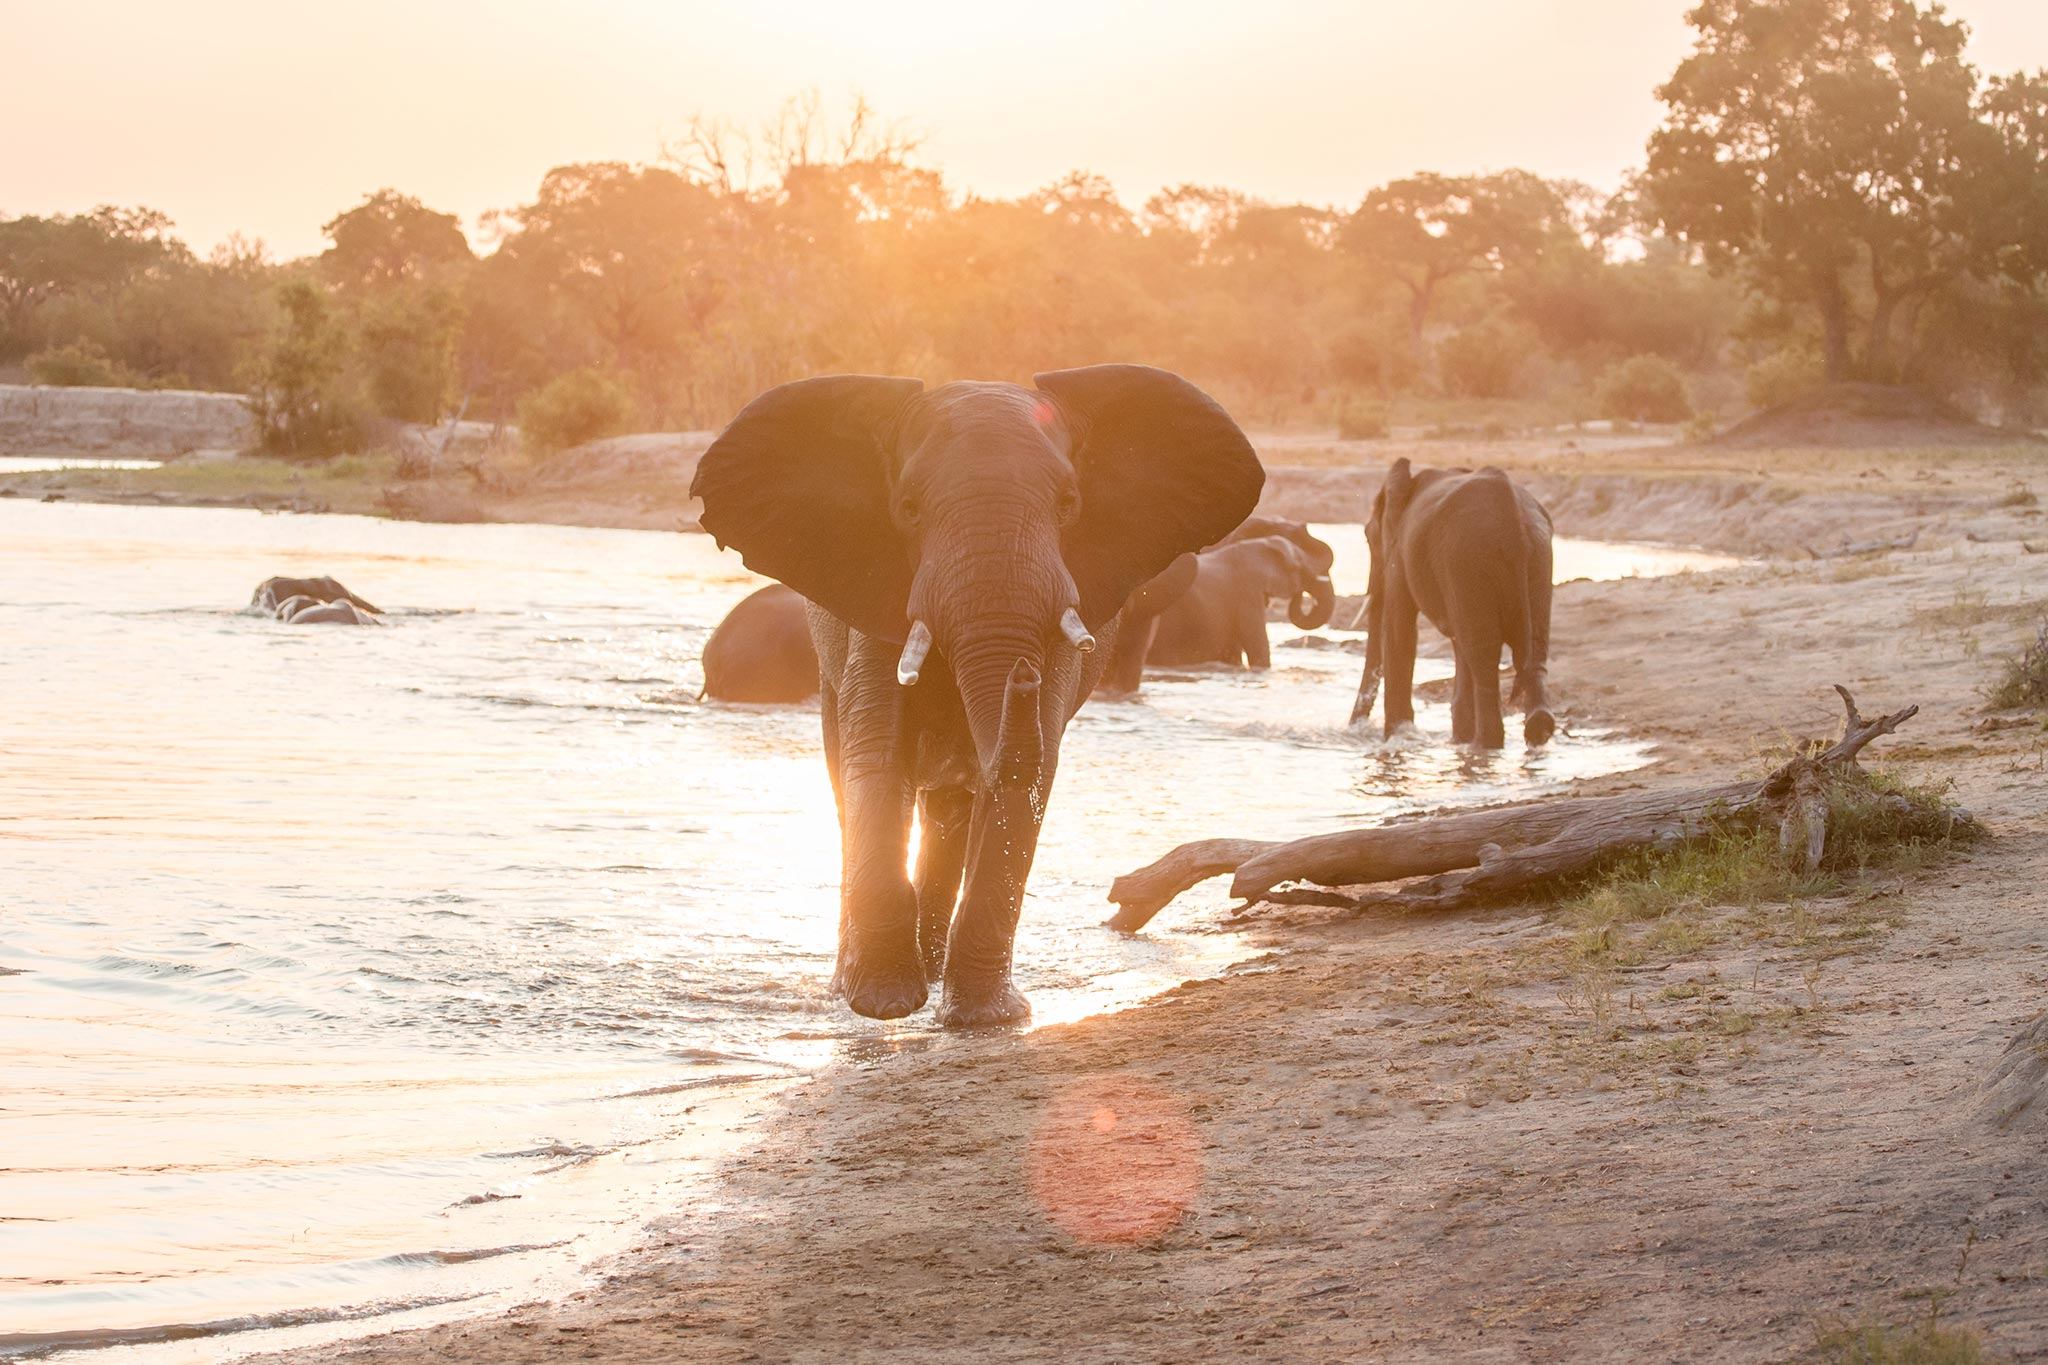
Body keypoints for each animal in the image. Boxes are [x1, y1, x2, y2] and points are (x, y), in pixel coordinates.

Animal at [688, 362, 1261, 1023]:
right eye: (907, 508)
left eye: (1070, 505)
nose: (1021, 677)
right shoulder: (874, 589)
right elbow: (877, 750)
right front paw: (884, 1006)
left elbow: (1033, 766)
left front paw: (986, 1019)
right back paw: (854, 988)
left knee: (951, 807)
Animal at [1351, 464, 1556, 753]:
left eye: (1369, 538)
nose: (1355, 729)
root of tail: (1513, 516)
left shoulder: (1400, 553)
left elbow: (1400, 631)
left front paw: (1397, 737)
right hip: (1537, 558)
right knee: (1531, 649)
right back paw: (1535, 731)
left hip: (1469, 559)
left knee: (1482, 654)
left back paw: (1483, 745)